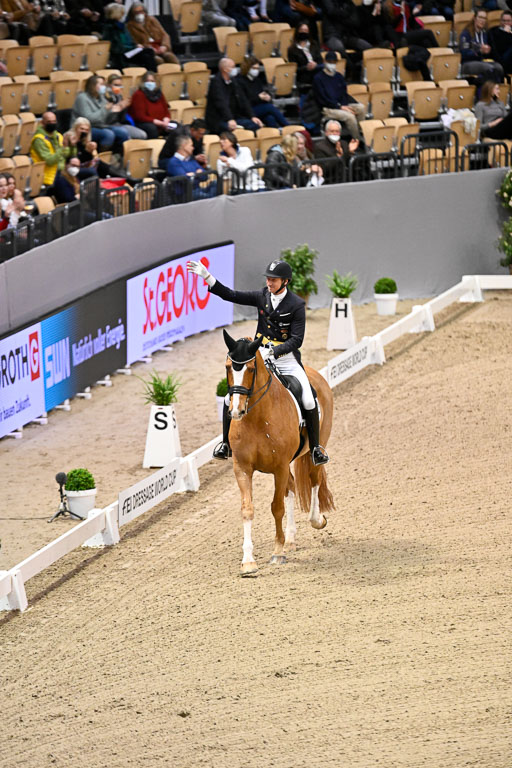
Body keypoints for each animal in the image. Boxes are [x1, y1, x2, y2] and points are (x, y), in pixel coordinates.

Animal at [222, 330, 335, 577]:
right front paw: (248, 562)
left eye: (251, 369)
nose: (236, 411)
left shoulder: (280, 466)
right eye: (228, 367)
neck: (256, 418)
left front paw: (277, 552)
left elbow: (277, 507)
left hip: (315, 449)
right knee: (292, 487)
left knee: (314, 479)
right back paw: (291, 539)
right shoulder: (242, 468)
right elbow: (247, 509)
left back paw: (316, 520)